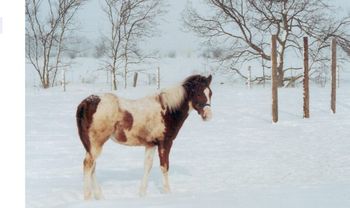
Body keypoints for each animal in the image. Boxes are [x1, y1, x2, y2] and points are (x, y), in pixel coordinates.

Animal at [76, 74, 212, 199]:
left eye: (210, 93)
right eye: (198, 93)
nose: (208, 115)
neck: (167, 110)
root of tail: (86, 103)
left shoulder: (151, 144)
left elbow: (148, 166)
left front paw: (142, 194)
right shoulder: (165, 143)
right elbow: (164, 166)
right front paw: (167, 193)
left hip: (91, 145)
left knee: (92, 166)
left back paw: (99, 196)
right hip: (96, 143)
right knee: (88, 165)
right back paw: (88, 197)